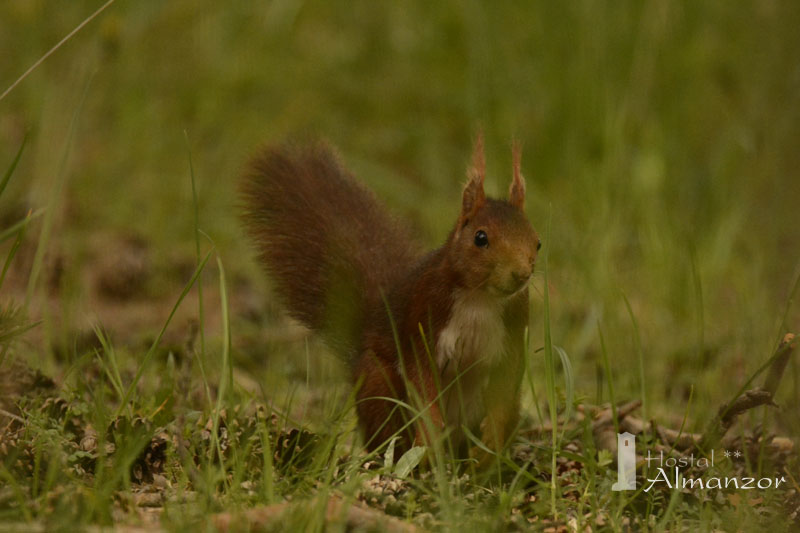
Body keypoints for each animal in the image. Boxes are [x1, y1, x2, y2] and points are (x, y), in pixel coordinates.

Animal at [241, 134, 540, 462]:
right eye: (480, 238)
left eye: (537, 242)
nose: (520, 274)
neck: (480, 299)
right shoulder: (423, 315)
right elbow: (422, 383)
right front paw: (430, 440)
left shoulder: (514, 328)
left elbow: (504, 390)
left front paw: (490, 448)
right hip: (378, 384)